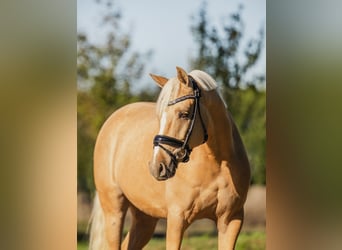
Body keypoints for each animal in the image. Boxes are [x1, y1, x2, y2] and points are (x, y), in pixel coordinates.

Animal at [89, 67, 251, 250]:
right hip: (114, 210)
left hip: (145, 217)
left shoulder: (231, 221)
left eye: (184, 114)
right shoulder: (177, 218)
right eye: (160, 116)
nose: (157, 166)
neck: (217, 164)